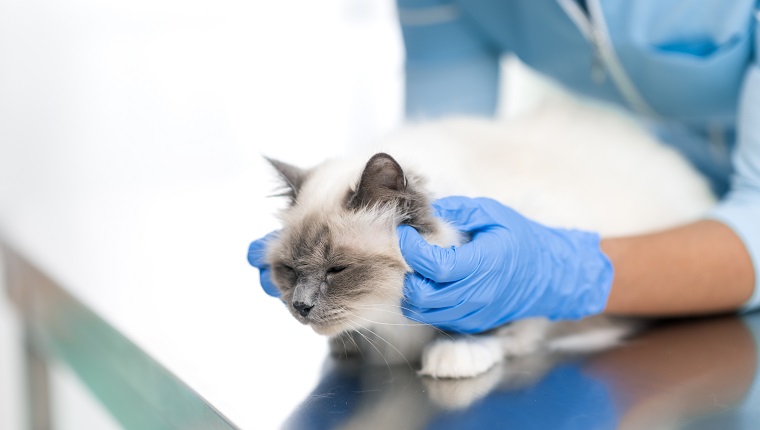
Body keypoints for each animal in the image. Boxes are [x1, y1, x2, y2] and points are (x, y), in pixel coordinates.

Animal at [264, 101, 716, 380]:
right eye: (288, 271)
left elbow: (504, 324)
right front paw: (347, 348)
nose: (300, 306)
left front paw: (455, 355)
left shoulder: (545, 252)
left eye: (337, 269)